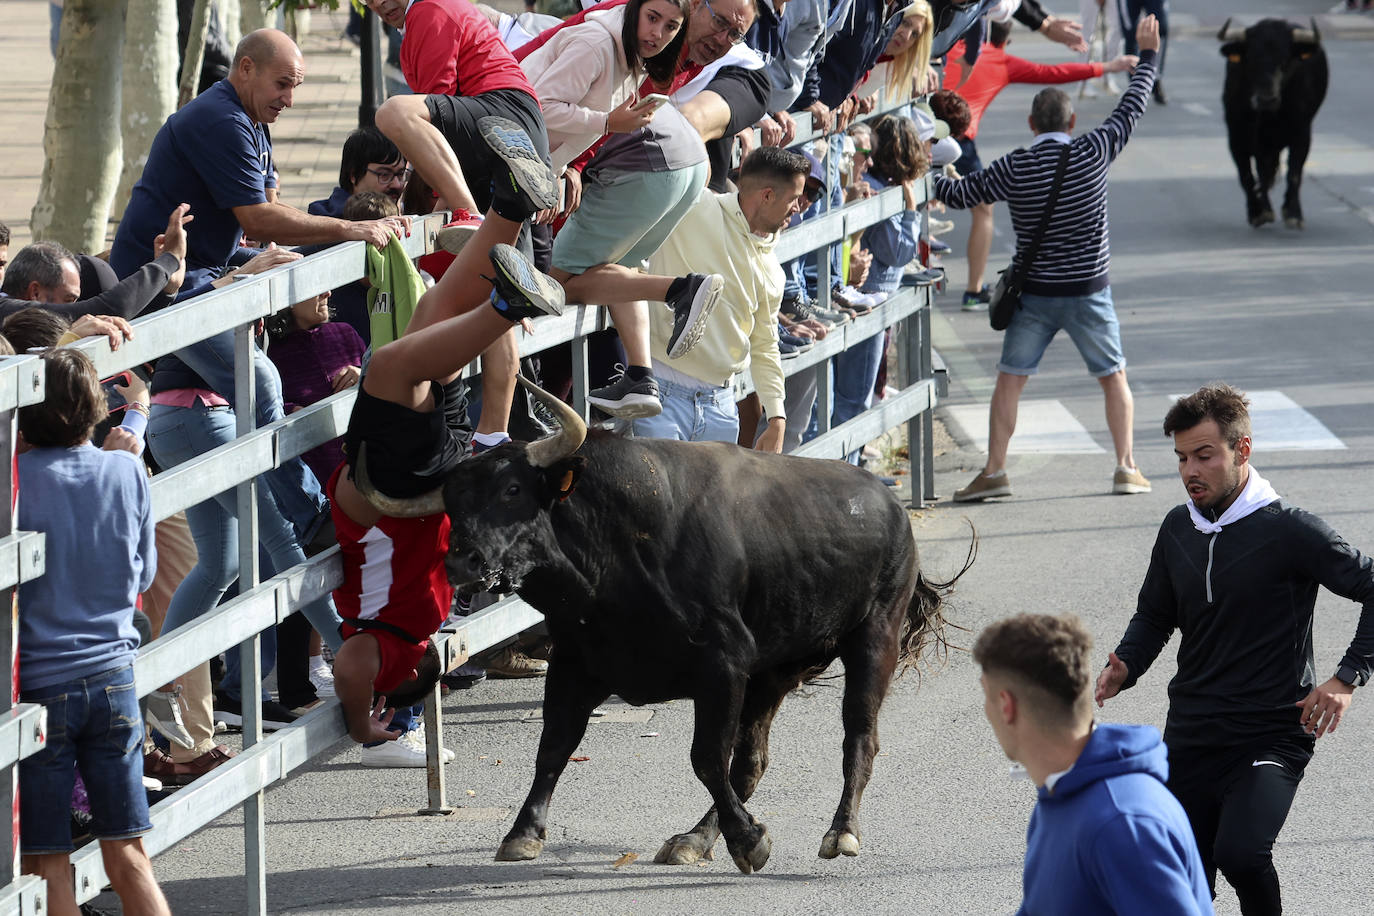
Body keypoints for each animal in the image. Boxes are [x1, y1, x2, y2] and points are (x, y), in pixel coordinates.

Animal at [359, 379, 972, 873]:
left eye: (512, 489)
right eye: (451, 505)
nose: (462, 561)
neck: (615, 552)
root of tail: (888, 505)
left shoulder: (722, 666)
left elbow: (706, 758)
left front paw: (751, 841)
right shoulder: (576, 664)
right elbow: (554, 747)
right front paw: (522, 833)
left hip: (873, 641)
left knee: (858, 739)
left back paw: (840, 832)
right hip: (775, 670)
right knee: (752, 761)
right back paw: (696, 839)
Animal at [1220, 16, 1324, 229]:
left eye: (1284, 60)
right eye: (1251, 59)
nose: (1266, 99)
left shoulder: (1302, 134)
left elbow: (1294, 173)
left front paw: (1293, 214)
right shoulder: (1237, 137)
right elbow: (1246, 175)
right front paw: (1257, 213)